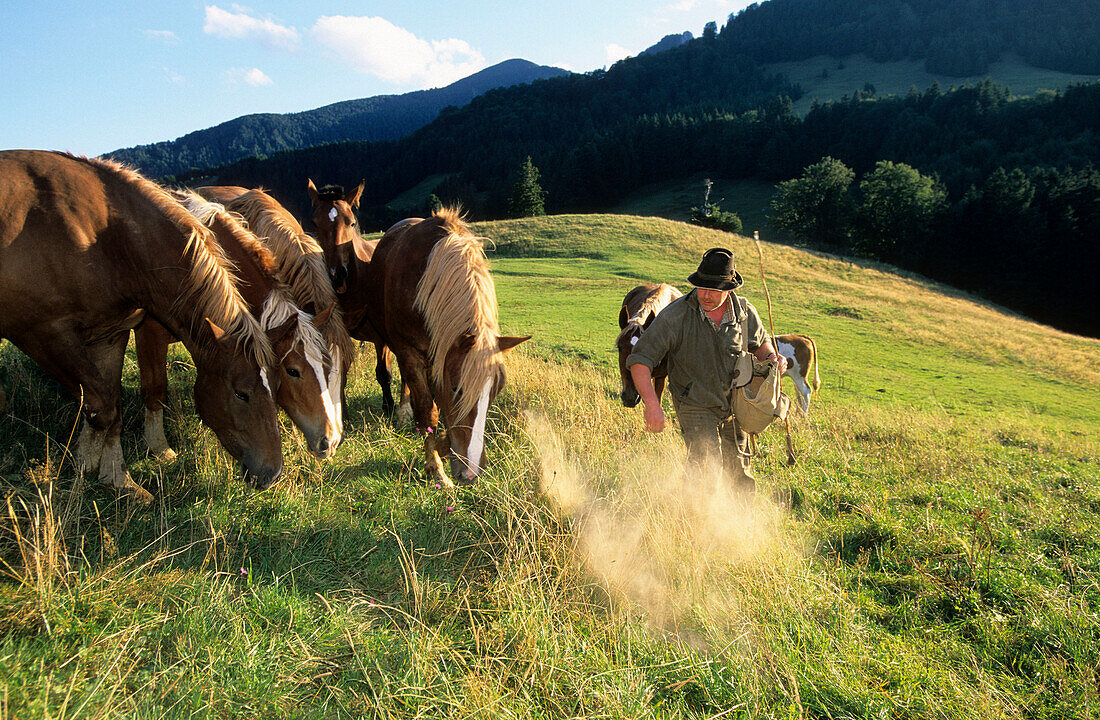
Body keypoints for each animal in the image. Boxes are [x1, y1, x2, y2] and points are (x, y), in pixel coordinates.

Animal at [1, 150, 283, 501]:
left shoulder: (111, 334)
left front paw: (115, 477)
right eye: (241, 393)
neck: (103, 239)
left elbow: (111, 408)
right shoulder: (46, 336)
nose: (272, 473)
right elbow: (102, 405)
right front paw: (88, 471)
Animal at [354, 211, 525, 488]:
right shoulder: (410, 351)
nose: (472, 471)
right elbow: (428, 409)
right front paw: (435, 466)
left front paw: (442, 444)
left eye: (496, 392)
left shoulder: (440, 355)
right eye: (457, 389)